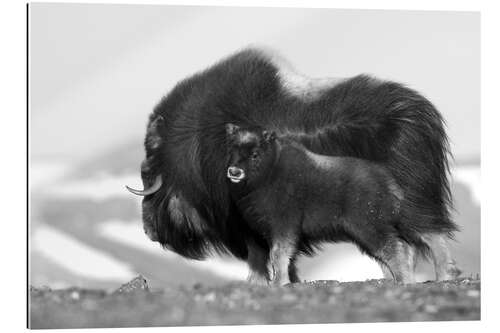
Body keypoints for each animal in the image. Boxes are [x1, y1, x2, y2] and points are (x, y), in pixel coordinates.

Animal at [227, 123, 460, 284]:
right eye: (232, 150)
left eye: (255, 154)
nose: (234, 172)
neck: (270, 171)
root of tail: (388, 181)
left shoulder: (283, 226)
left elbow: (278, 254)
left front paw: (279, 283)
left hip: (370, 227)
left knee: (402, 245)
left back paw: (410, 280)